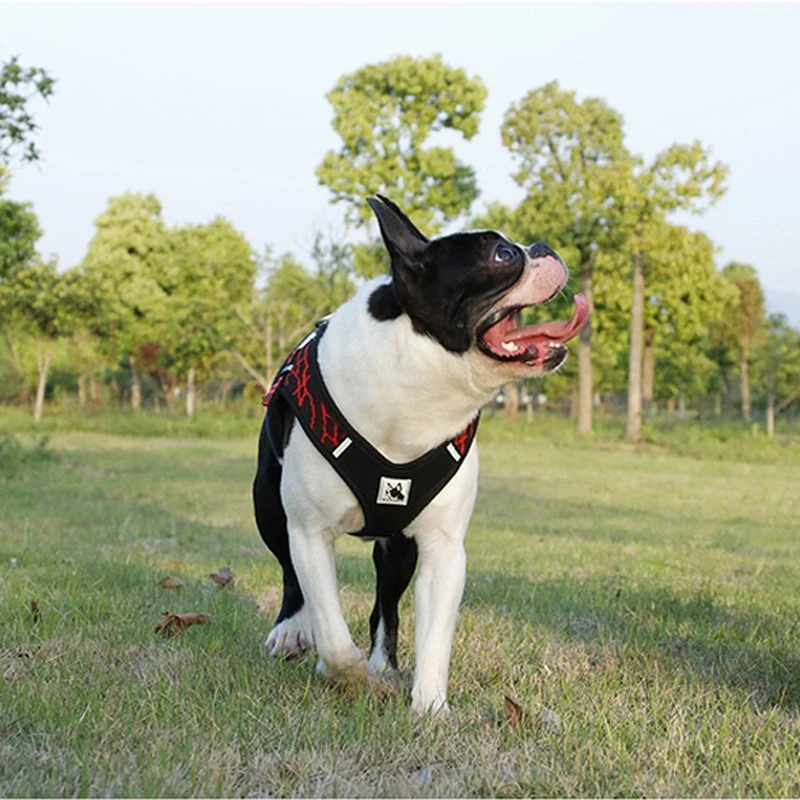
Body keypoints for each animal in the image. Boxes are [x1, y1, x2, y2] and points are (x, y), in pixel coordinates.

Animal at [253, 197, 592, 716]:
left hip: (398, 548)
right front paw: (344, 673)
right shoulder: (309, 532)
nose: (543, 247)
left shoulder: (442, 549)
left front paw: (429, 708)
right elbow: (331, 627)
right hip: (268, 505)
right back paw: (293, 631)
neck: (422, 382)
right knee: (294, 578)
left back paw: (381, 665)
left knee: (386, 604)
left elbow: (434, 636)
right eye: (502, 255)